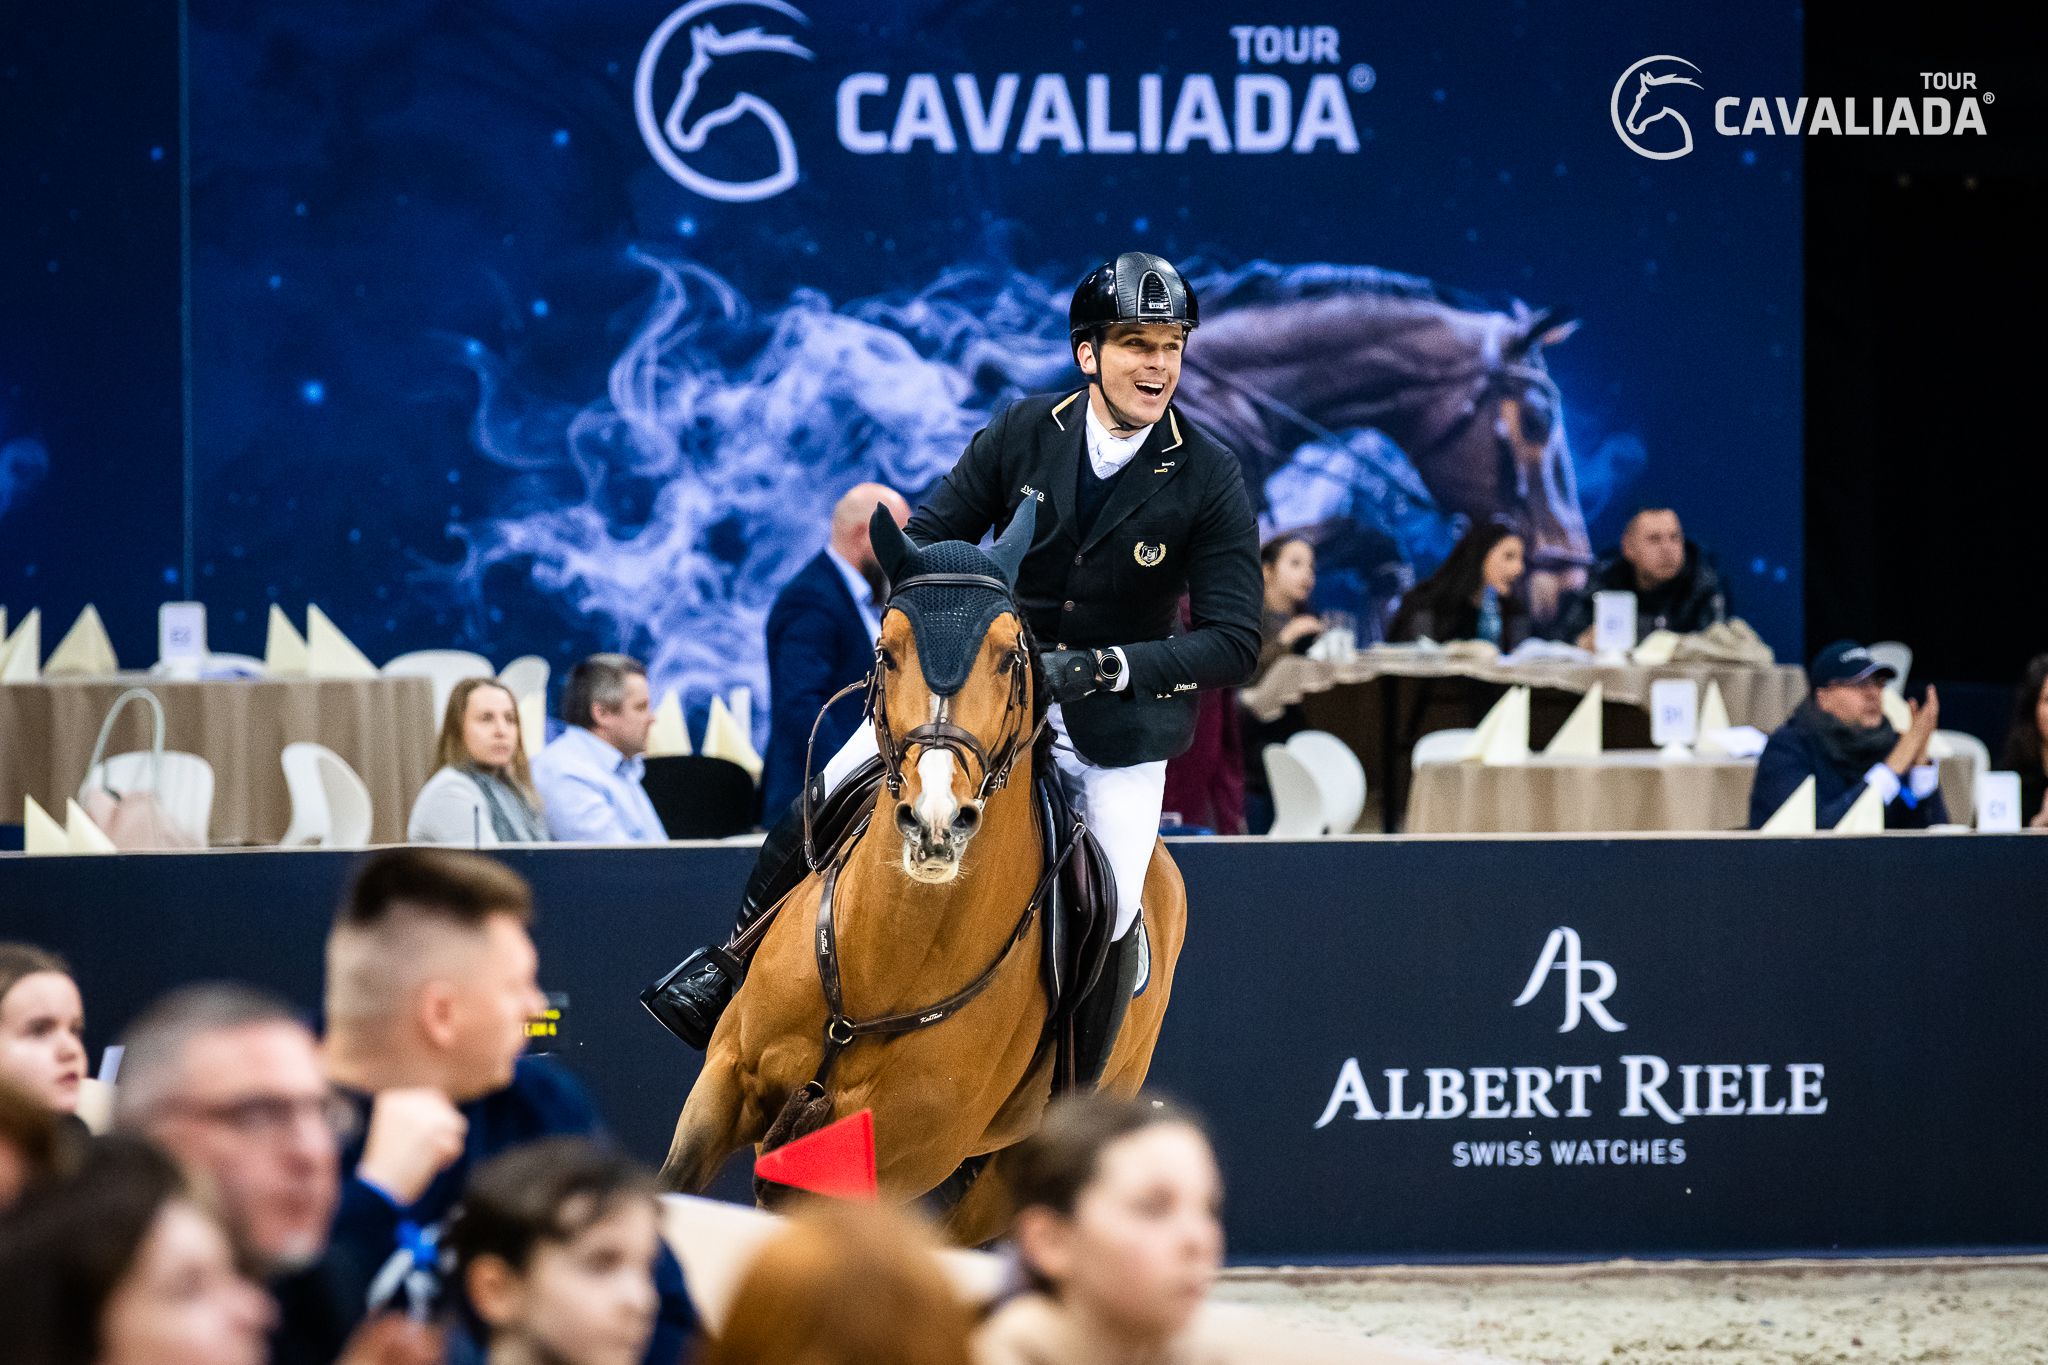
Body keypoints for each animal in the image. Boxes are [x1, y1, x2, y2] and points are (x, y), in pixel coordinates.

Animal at [659, 507, 1187, 1244]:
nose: (936, 820)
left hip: (1001, 1173)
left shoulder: (880, 1169)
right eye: (886, 651)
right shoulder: (724, 1084)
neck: (887, 962)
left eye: (1012, 657)